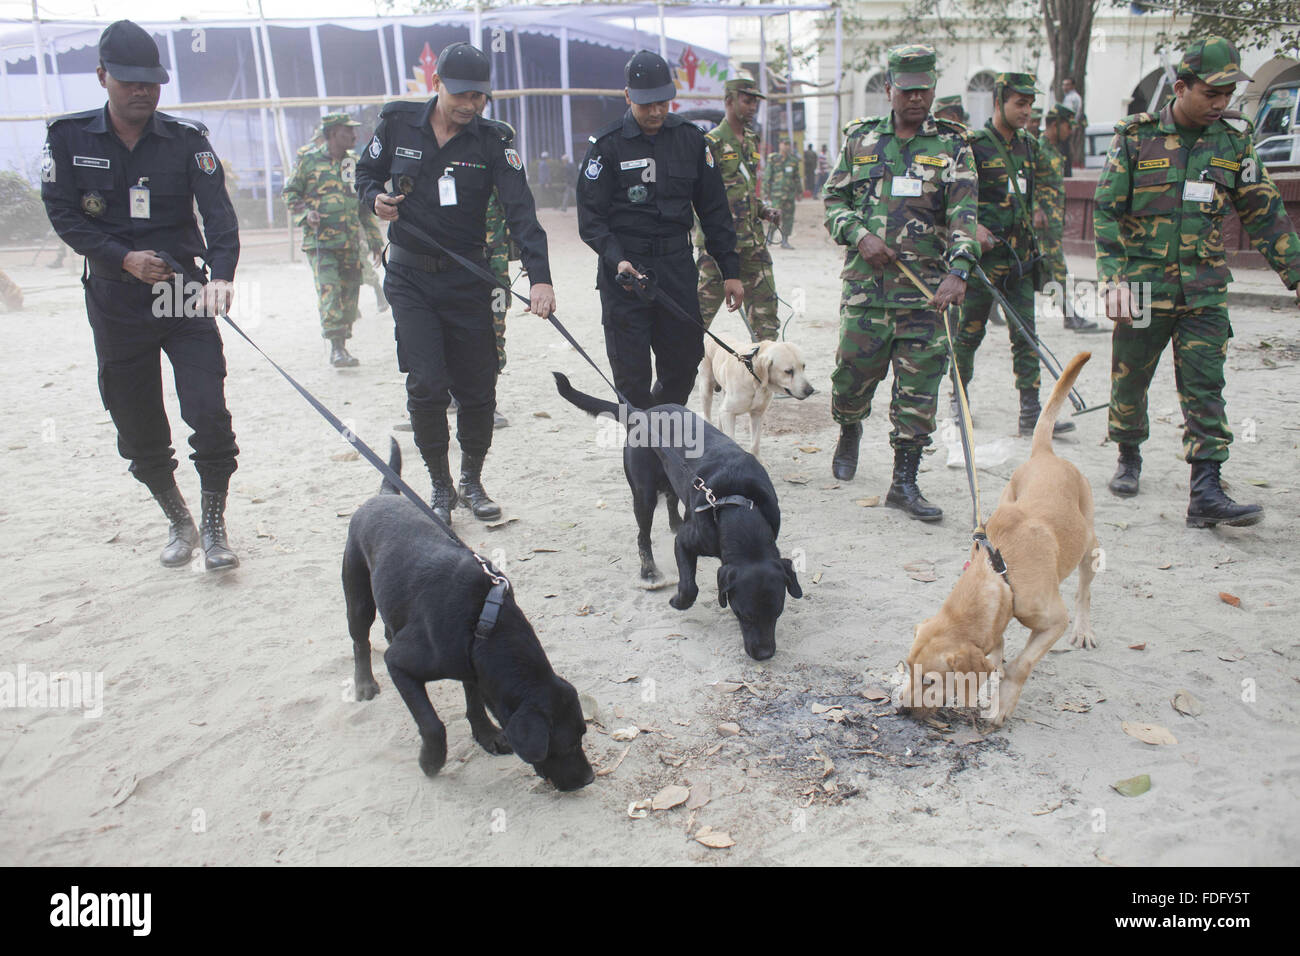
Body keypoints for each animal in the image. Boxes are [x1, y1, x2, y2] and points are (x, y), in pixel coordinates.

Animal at [340, 442, 595, 790]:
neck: (483, 622)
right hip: (358, 595)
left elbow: (475, 704)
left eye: (583, 733)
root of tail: (383, 494)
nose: (589, 778)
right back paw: (364, 684)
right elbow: (432, 723)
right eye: (567, 744)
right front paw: (431, 760)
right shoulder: (401, 664)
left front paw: (487, 735)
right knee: (360, 641)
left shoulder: (472, 667)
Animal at [551, 371, 795, 658]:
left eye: (777, 612)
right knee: (642, 536)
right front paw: (679, 601)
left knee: (671, 501)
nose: (764, 654)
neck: (737, 502)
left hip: (671, 479)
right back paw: (649, 571)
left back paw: (677, 522)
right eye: (743, 614)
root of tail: (642, 414)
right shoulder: (687, 544)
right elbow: (690, 585)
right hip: (643, 494)